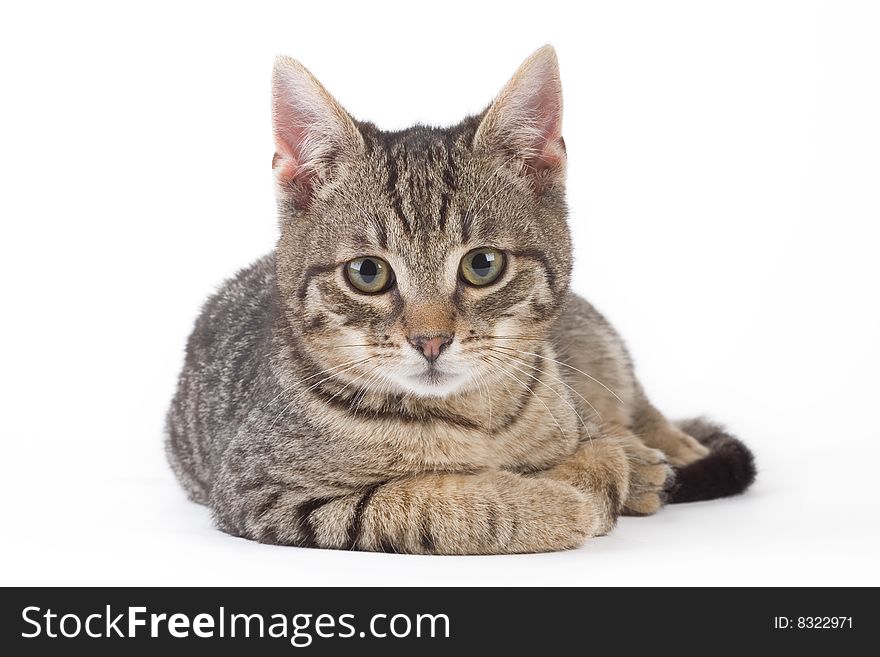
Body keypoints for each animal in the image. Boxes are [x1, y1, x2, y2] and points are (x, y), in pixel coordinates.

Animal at [167, 43, 756, 552]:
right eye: (366, 273)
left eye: (482, 265)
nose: (431, 341)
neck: (470, 417)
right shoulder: (270, 497)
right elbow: (422, 504)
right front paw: (553, 501)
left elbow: (598, 450)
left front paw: (614, 466)